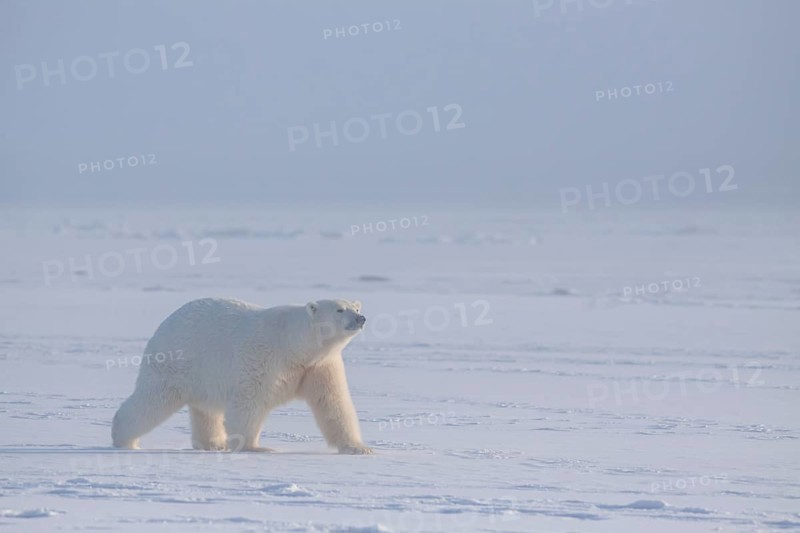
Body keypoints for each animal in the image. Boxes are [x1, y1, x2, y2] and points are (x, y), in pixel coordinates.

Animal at [111, 297, 372, 454]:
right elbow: (249, 401)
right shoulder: (264, 357)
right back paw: (125, 440)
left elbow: (333, 403)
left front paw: (360, 448)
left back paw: (213, 444)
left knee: (205, 410)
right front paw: (254, 447)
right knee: (152, 401)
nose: (361, 318)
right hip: (174, 363)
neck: (295, 346)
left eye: (357, 307)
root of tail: (164, 323)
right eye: (339, 309)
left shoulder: (318, 367)